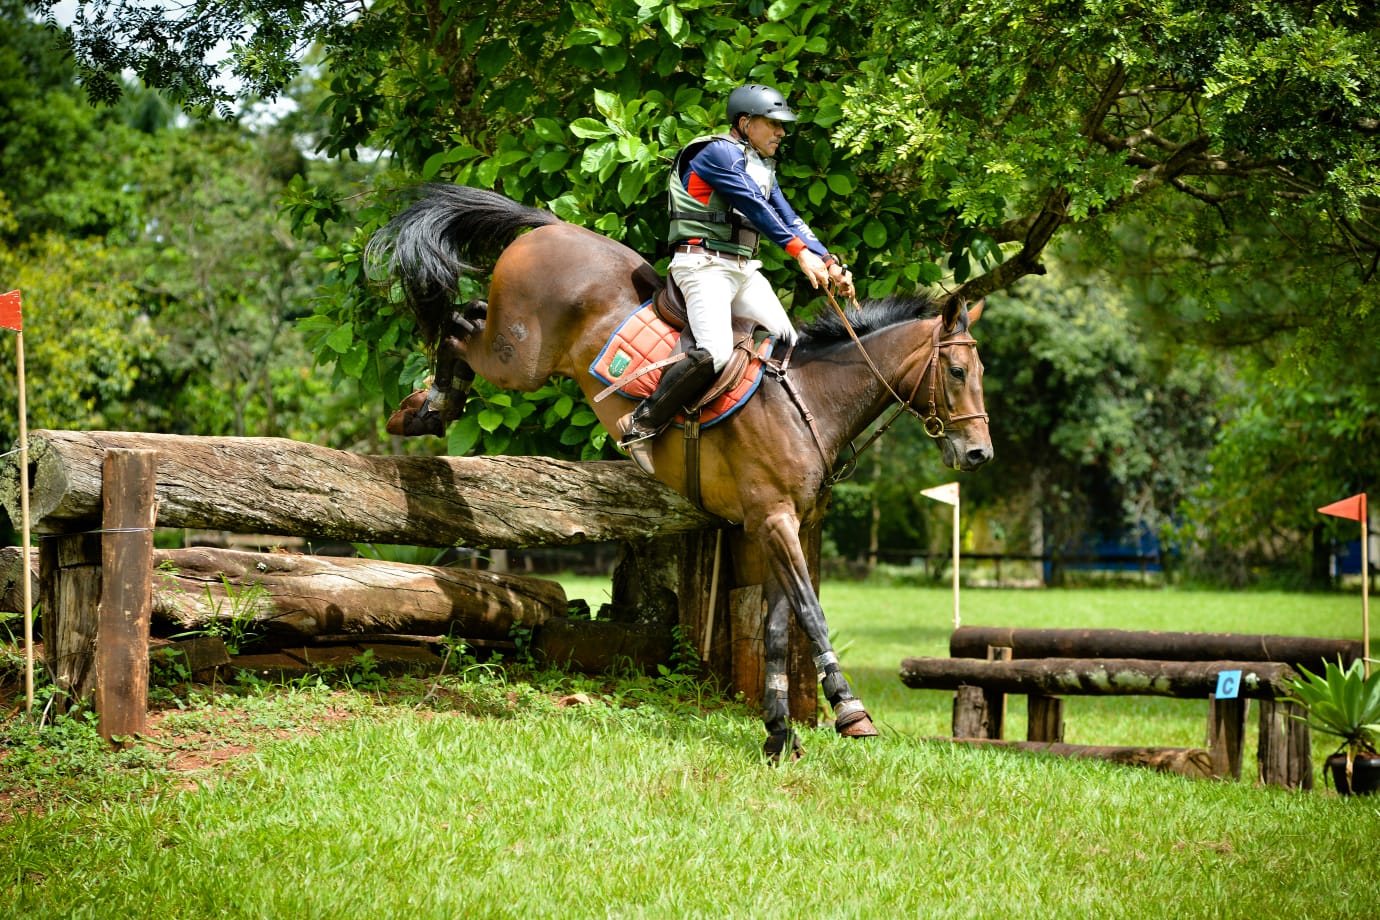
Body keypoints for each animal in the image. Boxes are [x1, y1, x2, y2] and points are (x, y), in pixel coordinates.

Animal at [367, 183, 993, 761]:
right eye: (958, 371)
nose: (979, 455)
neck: (809, 401)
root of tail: (553, 225)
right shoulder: (775, 522)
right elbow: (811, 614)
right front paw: (849, 709)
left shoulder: (773, 528)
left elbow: (775, 630)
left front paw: (778, 735)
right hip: (518, 357)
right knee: (458, 325)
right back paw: (427, 407)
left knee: (465, 317)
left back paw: (428, 406)